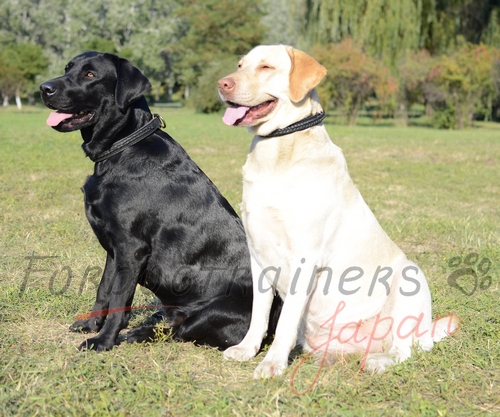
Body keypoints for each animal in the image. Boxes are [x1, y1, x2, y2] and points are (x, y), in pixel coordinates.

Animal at [40, 52, 282, 352]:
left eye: (90, 75)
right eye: (68, 68)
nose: (44, 88)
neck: (122, 147)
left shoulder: (132, 248)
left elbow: (119, 298)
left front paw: (104, 341)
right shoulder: (114, 250)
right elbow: (104, 290)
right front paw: (91, 325)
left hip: (212, 313)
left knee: (180, 331)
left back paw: (134, 335)